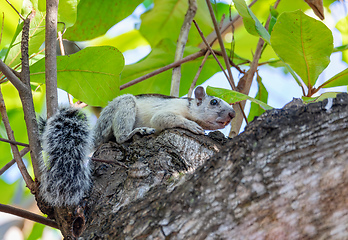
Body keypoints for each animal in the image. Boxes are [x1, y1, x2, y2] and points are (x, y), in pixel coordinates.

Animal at [39, 86, 235, 206]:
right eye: (214, 102)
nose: (233, 114)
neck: (189, 108)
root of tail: (96, 132)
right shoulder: (167, 113)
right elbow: (165, 119)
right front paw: (193, 126)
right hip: (123, 106)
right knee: (120, 137)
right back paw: (136, 132)